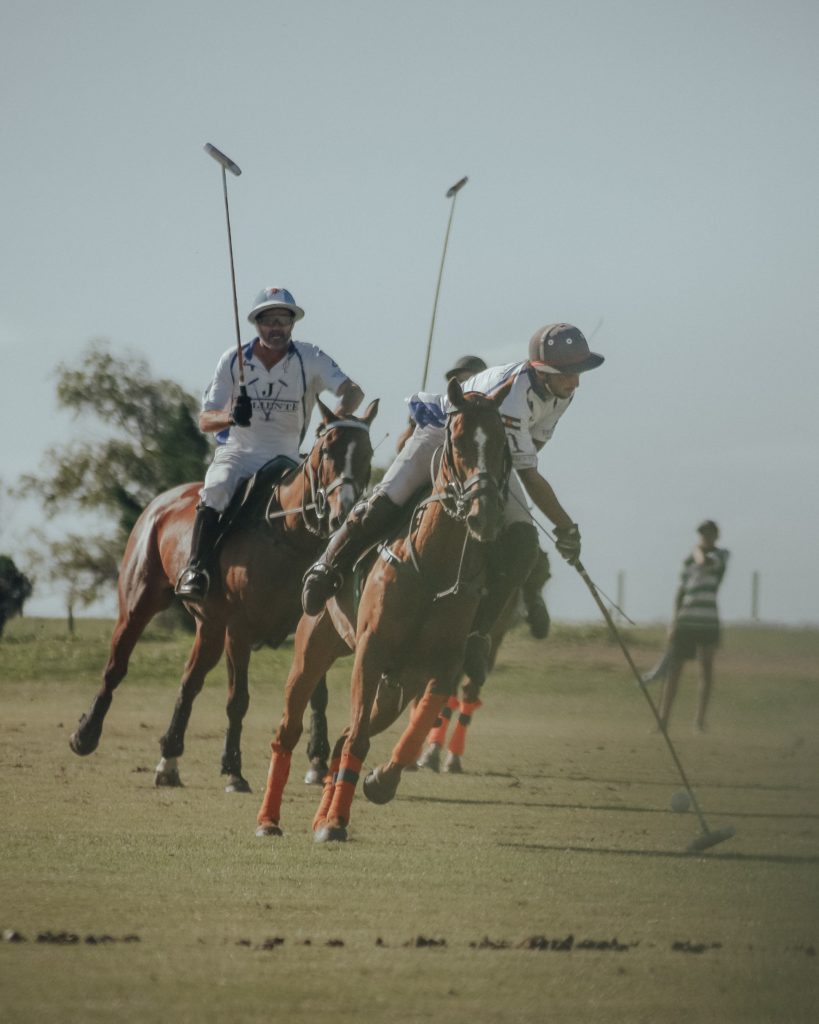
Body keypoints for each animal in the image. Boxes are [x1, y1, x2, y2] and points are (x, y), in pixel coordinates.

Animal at [69, 399, 376, 790]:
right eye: (326, 451)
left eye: (367, 453)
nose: (343, 513)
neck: (288, 532)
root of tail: (163, 500)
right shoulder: (239, 629)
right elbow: (238, 699)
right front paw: (232, 768)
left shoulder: (308, 621)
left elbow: (315, 693)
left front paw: (318, 763)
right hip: (139, 602)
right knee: (116, 667)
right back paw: (85, 735)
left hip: (210, 627)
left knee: (189, 682)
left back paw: (168, 761)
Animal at [255, 376, 511, 839]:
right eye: (459, 440)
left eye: (502, 443)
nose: (484, 514)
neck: (432, 565)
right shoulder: (370, 651)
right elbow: (358, 737)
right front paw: (336, 822)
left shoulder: (439, 666)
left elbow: (417, 727)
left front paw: (377, 783)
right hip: (312, 650)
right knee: (290, 731)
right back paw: (269, 820)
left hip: (396, 687)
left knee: (343, 736)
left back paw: (322, 814)